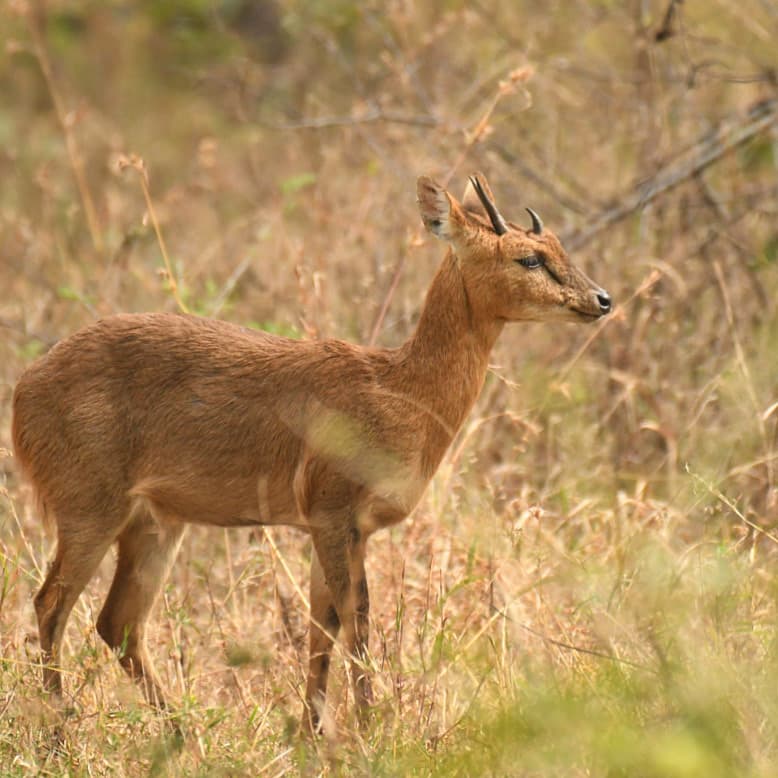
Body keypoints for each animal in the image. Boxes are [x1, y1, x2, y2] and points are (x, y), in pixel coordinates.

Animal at [12, 173, 611, 734]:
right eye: (528, 256)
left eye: (557, 245)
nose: (602, 300)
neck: (402, 391)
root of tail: (24, 388)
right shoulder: (332, 514)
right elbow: (356, 619)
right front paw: (371, 730)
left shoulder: (347, 529)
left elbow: (322, 628)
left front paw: (313, 733)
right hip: (90, 511)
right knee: (50, 606)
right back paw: (60, 731)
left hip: (155, 522)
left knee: (116, 623)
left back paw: (183, 734)